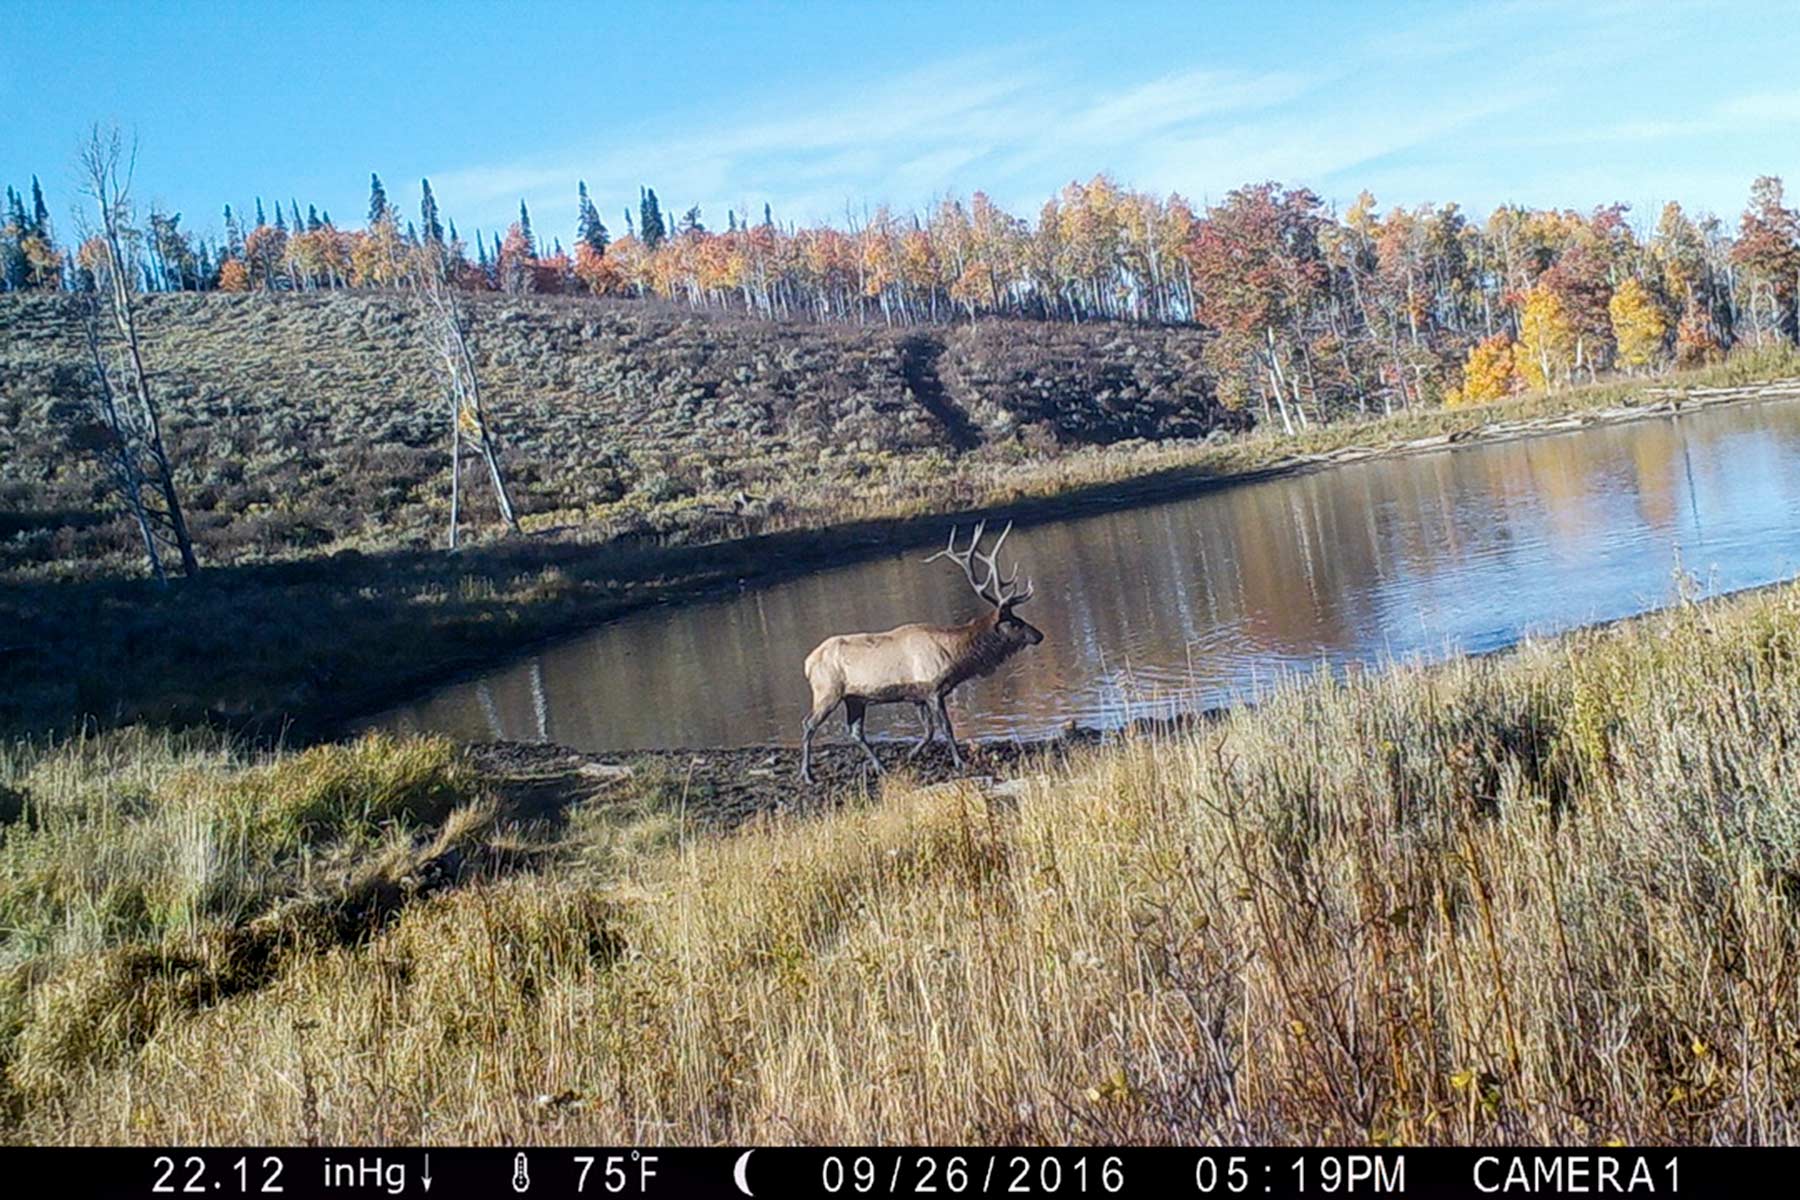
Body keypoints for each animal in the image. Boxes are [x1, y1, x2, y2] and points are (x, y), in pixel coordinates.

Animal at [800, 520, 1044, 783]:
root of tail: (807, 664)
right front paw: (959, 762)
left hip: (855, 698)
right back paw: (807, 774)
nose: (1039, 635)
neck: (956, 656)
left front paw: (910, 755)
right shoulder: (933, 689)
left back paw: (880, 767)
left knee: (855, 731)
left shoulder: (917, 695)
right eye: (1015, 622)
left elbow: (928, 731)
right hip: (828, 691)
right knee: (808, 724)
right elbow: (946, 727)